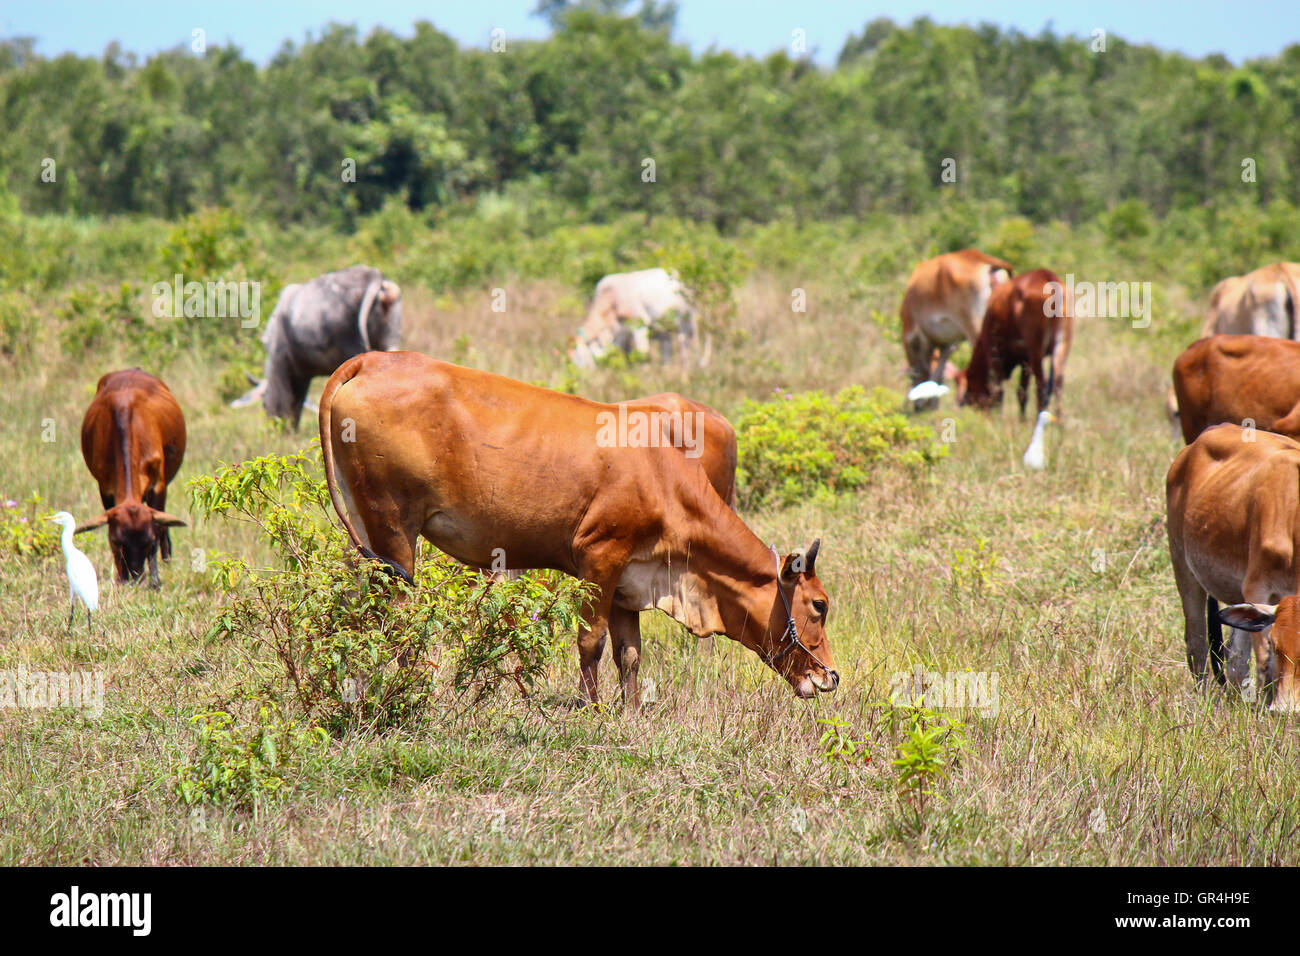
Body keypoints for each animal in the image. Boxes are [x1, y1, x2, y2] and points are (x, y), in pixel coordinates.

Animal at [77, 369, 187, 587]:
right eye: (116, 540)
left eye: (149, 541)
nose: (136, 577)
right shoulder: (105, 487)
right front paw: (121, 578)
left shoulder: (158, 485)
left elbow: (159, 524)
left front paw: (155, 581)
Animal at [318, 351, 837, 707]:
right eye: (819, 605)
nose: (830, 676)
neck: (663, 475)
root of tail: (371, 359)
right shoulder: (600, 556)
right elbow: (592, 643)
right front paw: (591, 710)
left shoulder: (631, 577)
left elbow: (630, 654)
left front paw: (631, 714)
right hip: (394, 531)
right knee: (399, 615)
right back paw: (410, 690)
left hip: (366, 533)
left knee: (355, 611)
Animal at [901, 249, 1013, 410]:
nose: (917, 407)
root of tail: (982, 259)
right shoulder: (948, 344)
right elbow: (939, 371)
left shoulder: (922, 339)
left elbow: (926, 369)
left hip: (975, 329)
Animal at [955, 268, 1073, 418]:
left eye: (970, 399)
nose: (983, 416)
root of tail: (1046, 275)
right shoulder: (1024, 361)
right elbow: (1022, 392)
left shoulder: (995, 353)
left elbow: (998, 391)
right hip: (1061, 347)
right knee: (1058, 385)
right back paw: (1059, 422)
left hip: (1036, 351)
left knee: (1042, 386)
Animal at [1167, 423, 1300, 710]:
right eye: (1275, 645)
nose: (1286, 709)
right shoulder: (1257, 587)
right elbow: (1264, 664)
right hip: (1184, 568)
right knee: (1197, 648)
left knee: (1235, 661)